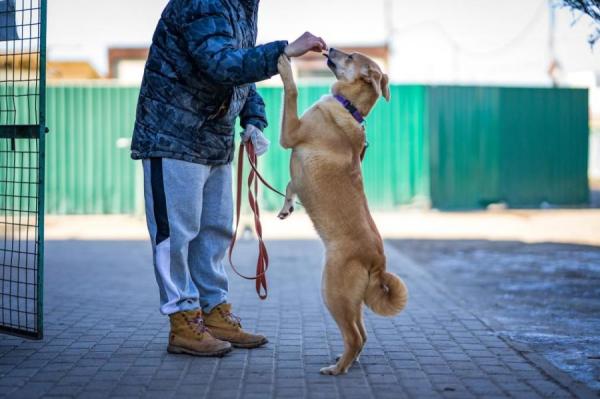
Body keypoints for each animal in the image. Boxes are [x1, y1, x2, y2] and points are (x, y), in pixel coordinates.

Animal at [276, 48, 408, 376]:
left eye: (350, 56)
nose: (329, 48)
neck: (350, 109)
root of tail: (378, 262)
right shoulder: (295, 170)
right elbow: (291, 184)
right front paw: (287, 206)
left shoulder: (290, 133)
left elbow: (291, 91)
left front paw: (285, 67)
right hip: (351, 301)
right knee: (361, 334)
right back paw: (345, 361)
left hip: (332, 291)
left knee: (355, 336)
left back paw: (337, 369)